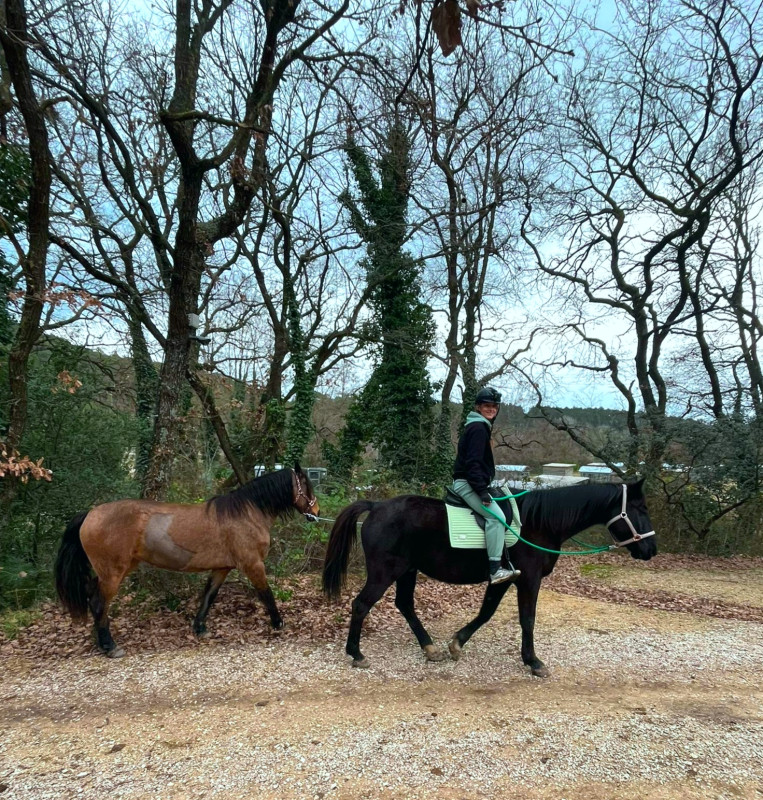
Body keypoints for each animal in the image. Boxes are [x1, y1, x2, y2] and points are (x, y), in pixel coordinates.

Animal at [55, 464, 318, 657]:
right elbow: (266, 594)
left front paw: (199, 628)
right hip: (113, 573)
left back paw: (98, 640)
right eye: (307, 485)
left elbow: (209, 596)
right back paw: (110, 646)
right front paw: (278, 623)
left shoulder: (222, 568)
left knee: (92, 597)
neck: (246, 513)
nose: (316, 512)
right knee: (99, 603)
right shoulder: (252, 564)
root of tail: (90, 514)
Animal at [322, 479, 656, 676]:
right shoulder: (528, 579)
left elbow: (486, 612)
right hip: (385, 572)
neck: (539, 522)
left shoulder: (505, 579)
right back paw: (356, 653)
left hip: (407, 571)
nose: (651, 548)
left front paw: (457, 643)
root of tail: (376, 506)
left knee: (404, 604)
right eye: (640, 508)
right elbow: (527, 619)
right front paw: (533, 661)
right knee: (361, 605)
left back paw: (430, 648)